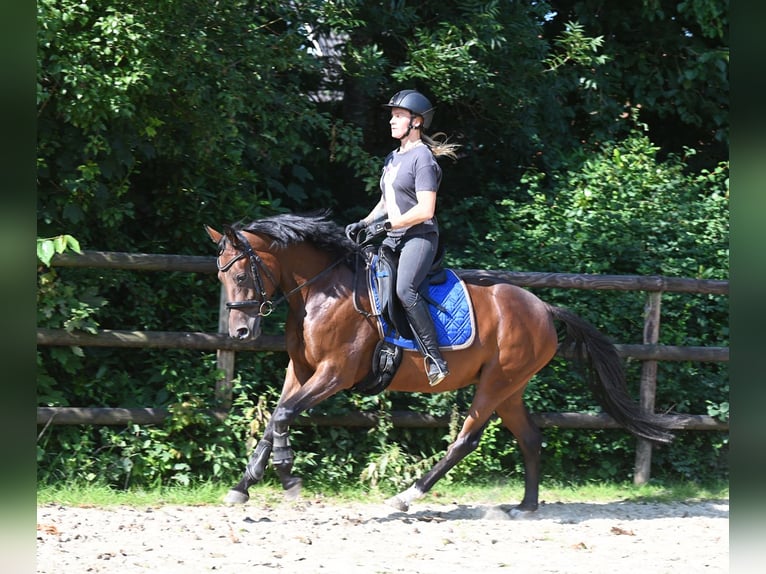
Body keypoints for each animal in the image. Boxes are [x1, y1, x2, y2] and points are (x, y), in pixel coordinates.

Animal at [206, 212, 680, 516]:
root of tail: (543, 307)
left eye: (242, 274)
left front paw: (288, 477)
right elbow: (275, 419)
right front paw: (242, 487)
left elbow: (284, 415)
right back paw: (526, 506)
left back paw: (407, 496)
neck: (321, 291)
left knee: (465, 440)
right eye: (221, 275)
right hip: (511, 388)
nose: (240, 332)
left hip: (495, 384)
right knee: (529, 437)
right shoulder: (300, 371)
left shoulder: (334, 374)